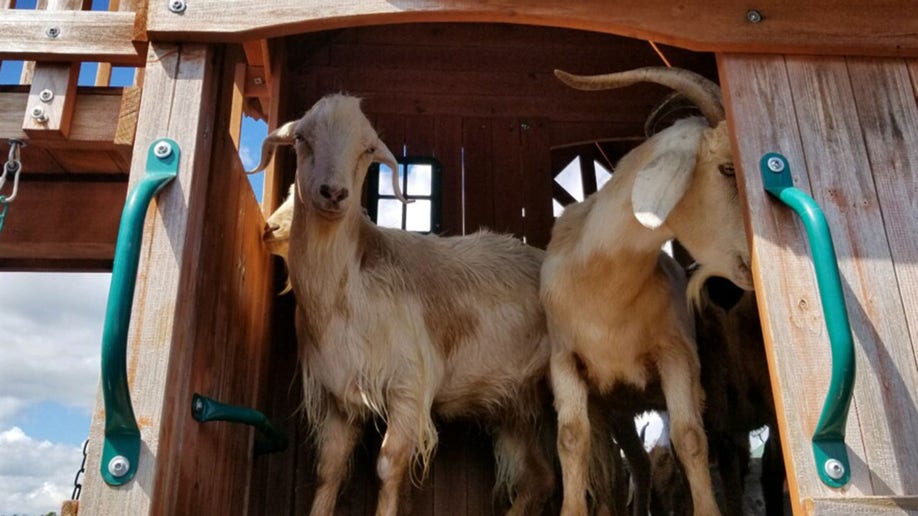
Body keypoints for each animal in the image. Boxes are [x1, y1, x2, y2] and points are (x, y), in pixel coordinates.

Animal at [250, 93, 552, 516]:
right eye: (301, 139)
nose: (333, 193)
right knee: (539, 479)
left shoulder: (409, 387)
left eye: (367, 150)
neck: (344, 294)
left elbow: (388, 466)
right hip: (515, 403)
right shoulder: (342, 397)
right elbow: (329, 470)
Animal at [544, 66, 752, 512]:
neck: (606, 294)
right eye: (728, 169)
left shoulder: (677, 354)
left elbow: (690, 439)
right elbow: (571, 439)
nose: (754, 256)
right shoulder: (565, 360)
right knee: (638, 464)